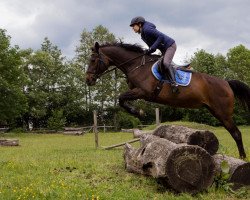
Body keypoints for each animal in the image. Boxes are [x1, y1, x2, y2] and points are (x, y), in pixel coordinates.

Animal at [85, 41, 250, 159]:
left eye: (93, 60)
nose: (88, 80)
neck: (136, 65)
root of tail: (226, 82)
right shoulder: (137, 91)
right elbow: (122, 99)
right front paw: (138, 111)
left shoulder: (143, 92)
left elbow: (121, 98)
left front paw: (138, 112)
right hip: (215, 111)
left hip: (223, 113)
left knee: (236, 133)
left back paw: (242, 158)